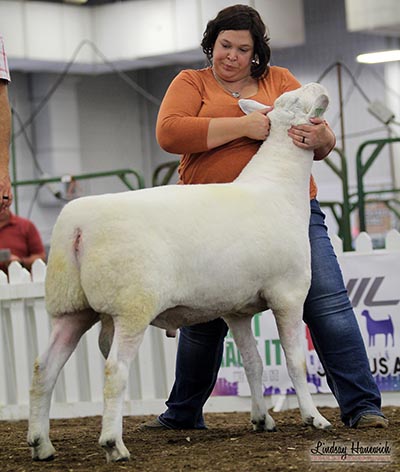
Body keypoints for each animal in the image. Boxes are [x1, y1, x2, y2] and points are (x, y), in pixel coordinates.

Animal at [28, 81, 332, 460]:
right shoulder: (288, 294)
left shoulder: (238, 310)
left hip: (70, 307)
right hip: (131, 305)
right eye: (292, 99)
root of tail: (77, 227)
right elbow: (295, 362)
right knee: (115, 371)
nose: (318, 87)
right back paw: (114, 445)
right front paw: (314, 418)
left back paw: (41, 444)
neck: (278, 185)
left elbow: (253, 363)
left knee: (44, 369)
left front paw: (262, 419)